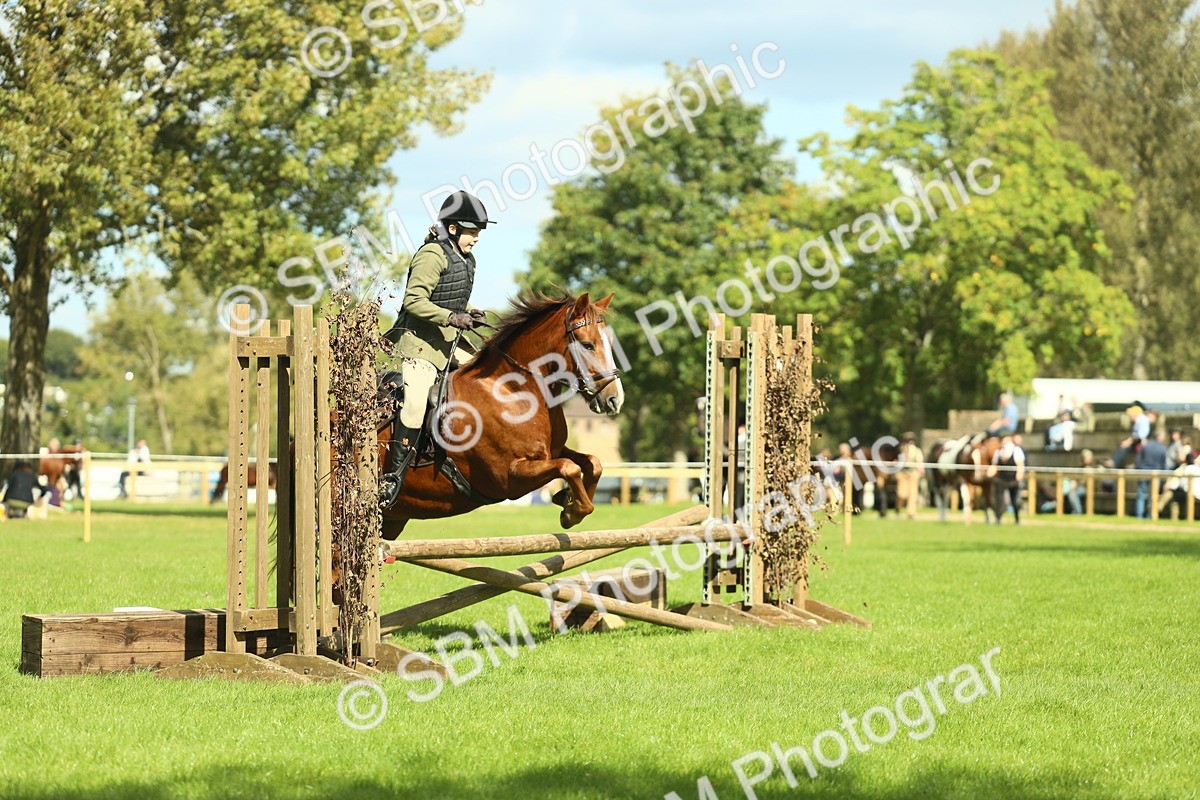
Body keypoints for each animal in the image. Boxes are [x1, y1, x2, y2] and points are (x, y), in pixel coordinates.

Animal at [377, 291, 624, 540]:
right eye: (587, 345)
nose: (615, 399)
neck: (512, 391)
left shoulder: (553, 451)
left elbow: (592, 463)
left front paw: (567, 500)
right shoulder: (509, 478)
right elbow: (569, 467)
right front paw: (571, 512)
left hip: (393, 520)